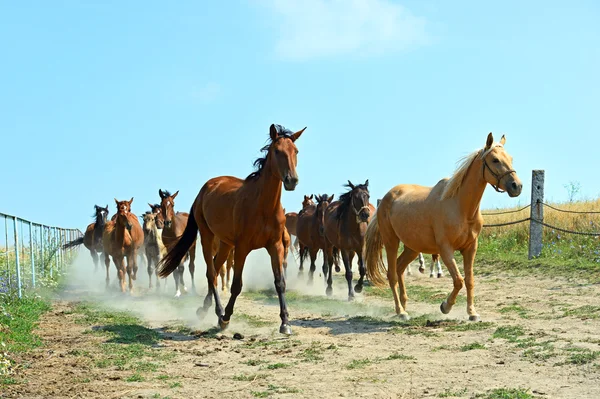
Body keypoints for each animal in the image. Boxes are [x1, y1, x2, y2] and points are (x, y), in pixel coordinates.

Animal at [158, 123, 304, 336]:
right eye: (277, 151)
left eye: (296, 151)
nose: (291, 180)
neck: (263, 206)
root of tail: (205, 189)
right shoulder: (242, 248)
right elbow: (236, 285)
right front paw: (226, 317)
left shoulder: (275, 246)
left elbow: (280, 283)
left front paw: (285, 322)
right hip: (208, 237)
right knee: (211, 274)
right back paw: (219, 313)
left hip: (226, 244)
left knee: (215, 268)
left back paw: (204, 309)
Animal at [364, 134, 524, 322]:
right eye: (495, 160)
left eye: (511, 158)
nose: (517, 186)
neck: (461, 208)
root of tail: (386, 198)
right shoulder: (446, 249)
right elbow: (459, 280)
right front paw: (445, 306)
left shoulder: (471, 248)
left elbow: (469, 280)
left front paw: (472, 313)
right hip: (391, 242)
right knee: (392, 274)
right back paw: (400, 311)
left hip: (412, 248)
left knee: (399, 268)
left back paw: (404, 305)